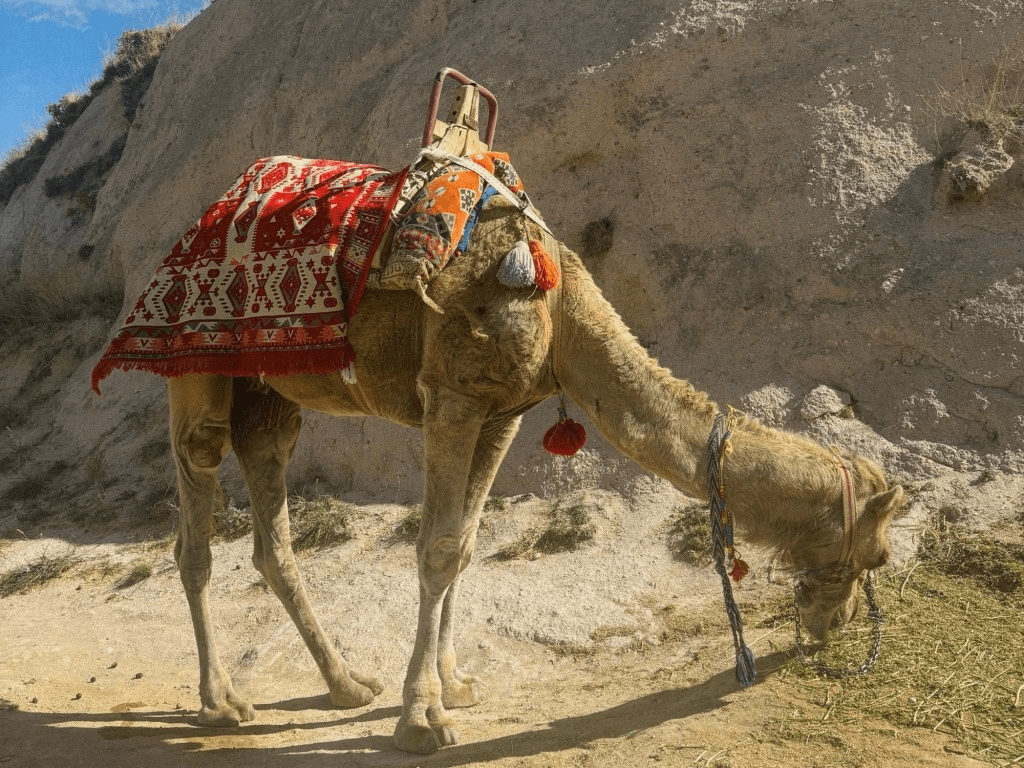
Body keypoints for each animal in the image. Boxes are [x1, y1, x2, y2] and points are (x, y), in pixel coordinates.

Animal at [161, 195, 905, 753]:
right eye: (878, 554)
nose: (835, 625)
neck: (562, 314)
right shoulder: (453, 395)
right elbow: (435, 549)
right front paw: (421, 720)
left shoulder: (502, 415)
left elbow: (463, 547)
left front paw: (453, 686)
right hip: (194, 368)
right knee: (195, 517)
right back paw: (221, 704)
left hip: (269, 395)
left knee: (271, 530)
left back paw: (347, 685)